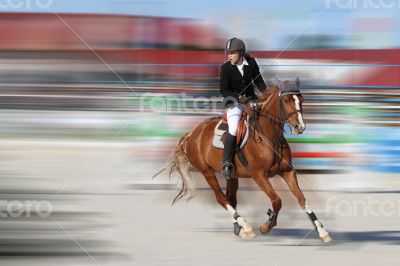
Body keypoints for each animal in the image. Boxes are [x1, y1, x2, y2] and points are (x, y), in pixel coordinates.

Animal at [155, 77, 332, 243]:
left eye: (301, 99)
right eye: (286, 100)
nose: (299, 127)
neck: (268, 135)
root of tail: (192, 133)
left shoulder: (287, 172)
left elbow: (302, 200)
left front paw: (322, 231)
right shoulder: (258, 175)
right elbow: (277, 201)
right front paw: (267, 225)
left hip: (232, 176)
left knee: (231, 199)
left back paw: (239, 228)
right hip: (207, 172)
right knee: (222, 198)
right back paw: (246, 227)